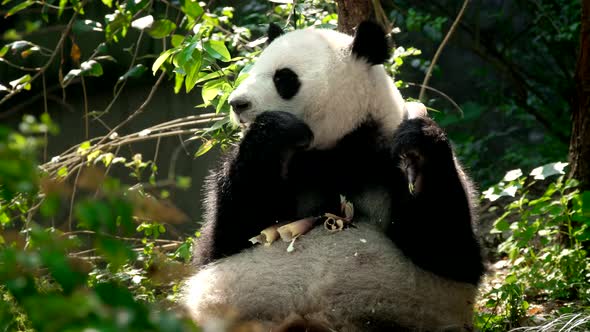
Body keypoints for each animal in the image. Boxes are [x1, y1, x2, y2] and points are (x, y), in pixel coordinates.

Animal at [184, 21, 486, 332]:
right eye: (254, 69)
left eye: (284, 78)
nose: (237, 103)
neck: (337, 152)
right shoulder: (290, 172)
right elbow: (225, 240)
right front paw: (275, 128)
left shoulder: (383, 161)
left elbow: (449, 252)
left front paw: (419, 146)